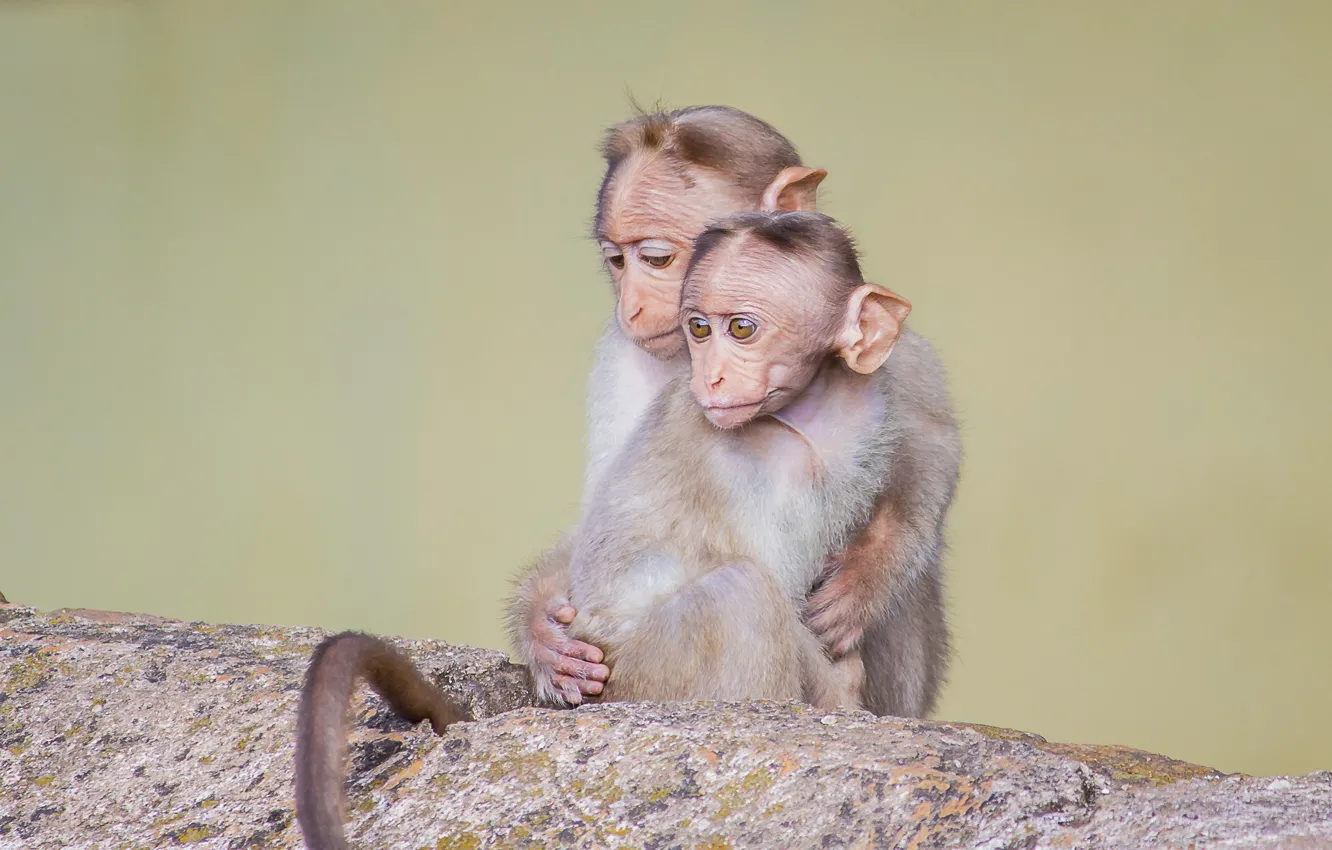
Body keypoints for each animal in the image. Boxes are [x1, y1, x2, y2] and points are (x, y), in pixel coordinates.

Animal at [508, 105, 959, 718]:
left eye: (657, 258)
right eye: (617, 261)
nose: (632, 306)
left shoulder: (887, 367)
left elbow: (932, 447)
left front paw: (867, 579)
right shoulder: (626, 363)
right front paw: (542, 628)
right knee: (738, 595)